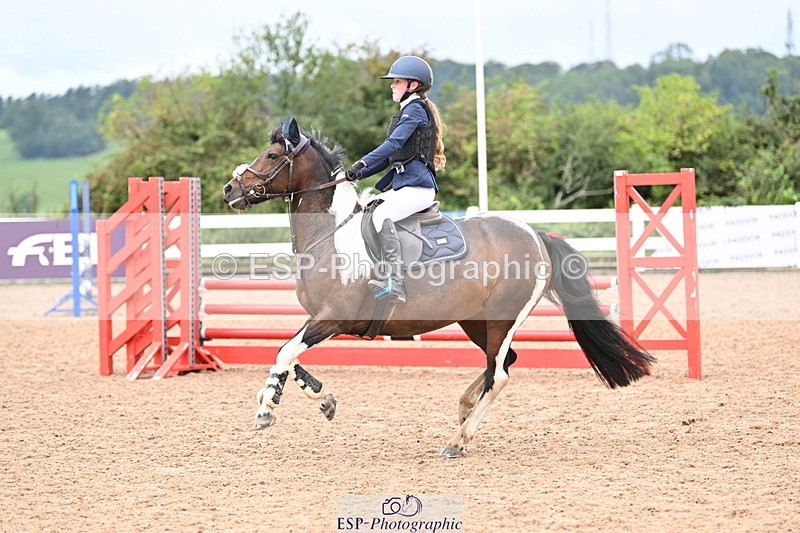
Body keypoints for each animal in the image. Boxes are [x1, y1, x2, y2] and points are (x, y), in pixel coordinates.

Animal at [221, 118, 655, 458]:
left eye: (272, 156)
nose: (230, 189)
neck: (331, 235)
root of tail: (535, 235)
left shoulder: (333, 319)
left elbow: (285, 353)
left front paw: (267, 408)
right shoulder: (317, 319)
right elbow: (289, 355)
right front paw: (322, 399)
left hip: (501, 320)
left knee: (500, 374)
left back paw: (459, 440)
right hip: (475, 321)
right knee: (502, 363)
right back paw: (464, 412)